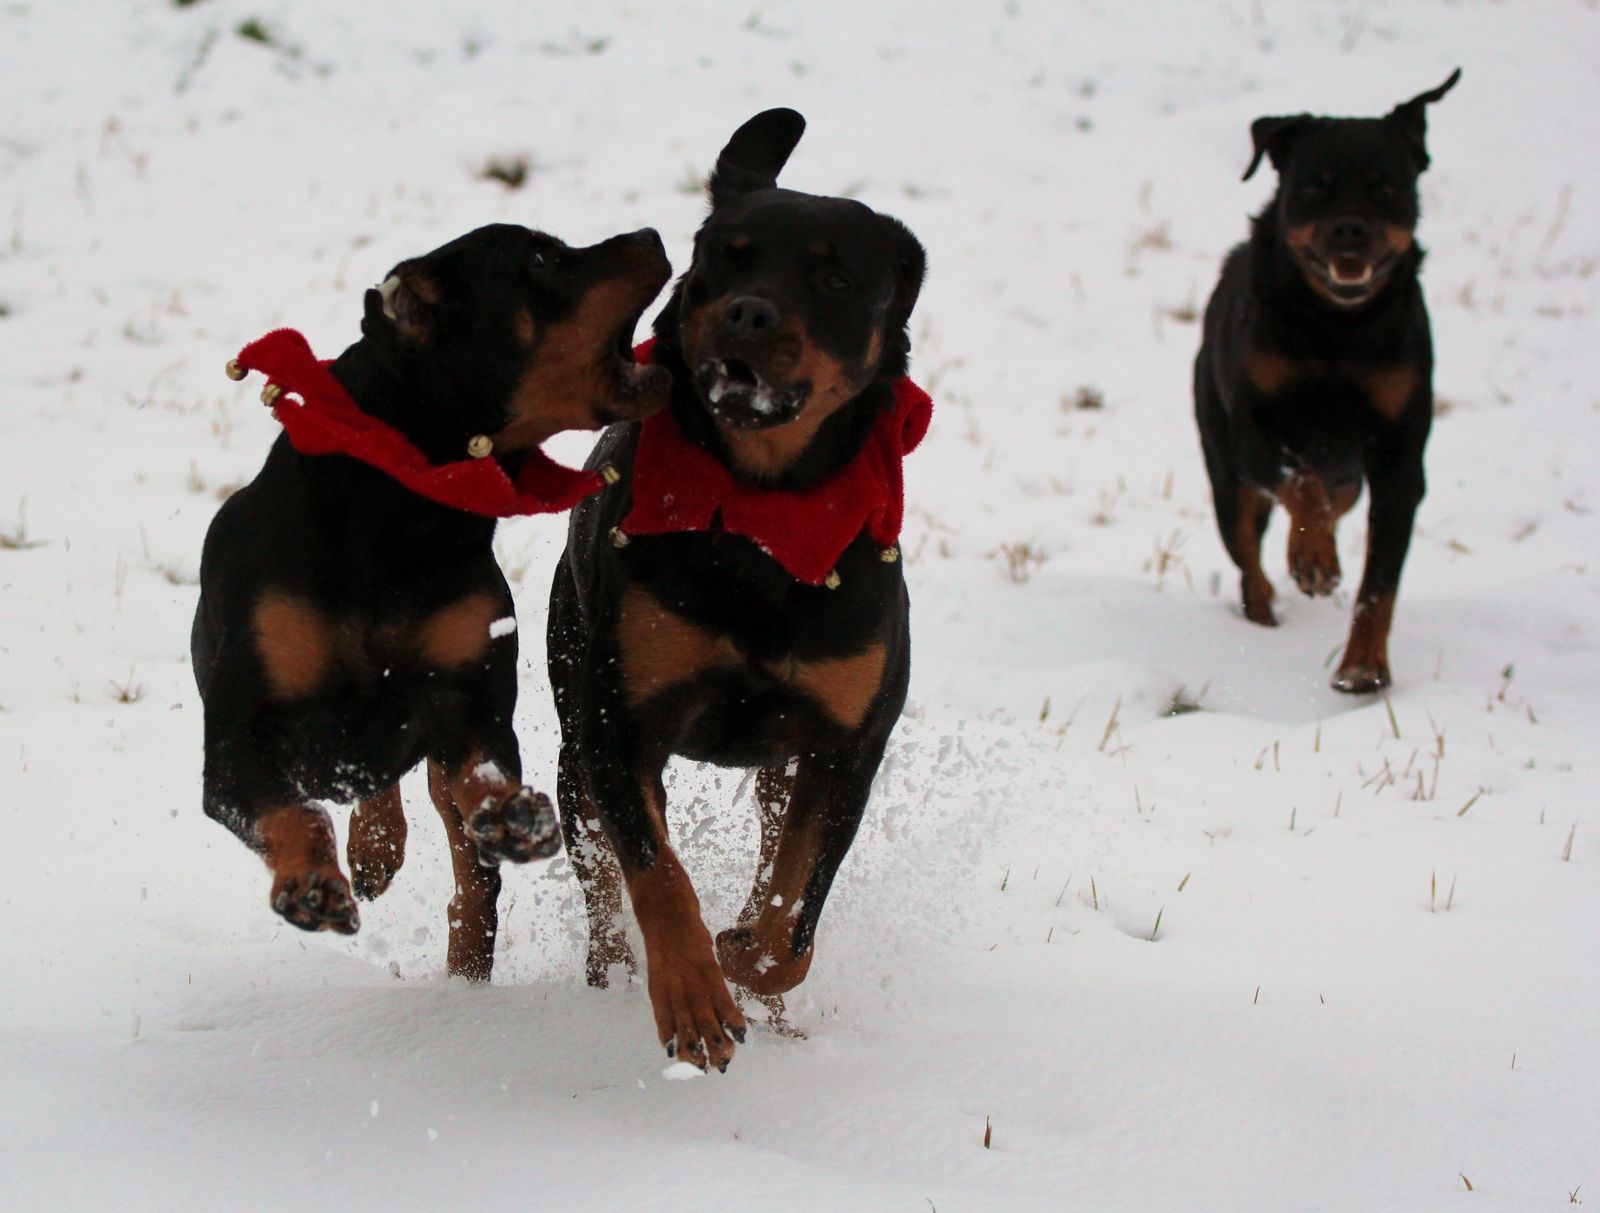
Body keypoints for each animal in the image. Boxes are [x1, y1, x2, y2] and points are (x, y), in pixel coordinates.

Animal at [192, 222, 671, 980]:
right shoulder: (240, 735)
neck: (402, 512)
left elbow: (483, 777)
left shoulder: (466, 700)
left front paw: (509, 817)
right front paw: (311, 883)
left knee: (466, 877)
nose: (651, 234)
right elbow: (293, 811)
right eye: (540, 258)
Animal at [548, 109, 929, 1071]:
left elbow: (794, 911)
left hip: (778, 765)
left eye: (835, 276)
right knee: (601, 888)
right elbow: (657, 871)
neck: (763, 513)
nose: (749, 310)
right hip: (571, 719)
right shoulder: (619, 723)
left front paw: (748, 961)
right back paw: (614, 979)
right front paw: (693, 995)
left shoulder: (845, 745)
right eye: (724, 255)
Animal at [1194, 69, 1461, 692]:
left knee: (1338, 494)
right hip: (1222, 464)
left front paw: (1363, 666)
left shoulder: (1400, 458)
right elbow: (1299, 486)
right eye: (1314, 186)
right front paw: (1312, 559)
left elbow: (1379, 583)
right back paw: (1266, 609)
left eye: (1385, 186)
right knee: (1248, 550)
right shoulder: (1255, 429)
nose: (1350, 229)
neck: (1337, 329)